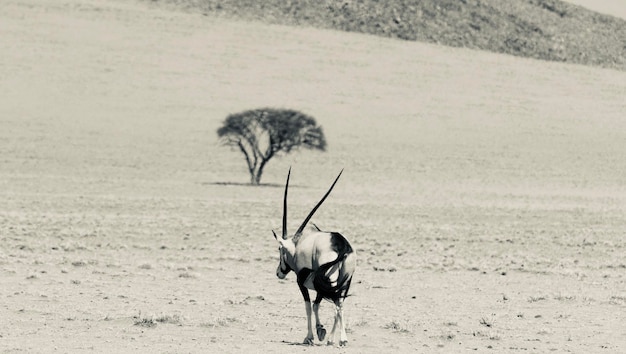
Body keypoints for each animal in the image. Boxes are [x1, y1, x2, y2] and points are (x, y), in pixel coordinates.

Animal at [272, 169, 356, 346]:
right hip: (344, 281)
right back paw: (339, 339)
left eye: (279, 249)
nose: (279, 273)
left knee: (335, 306)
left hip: (329, 280)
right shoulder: (321, 287)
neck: (297, 247)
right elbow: (317, 305)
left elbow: (309, 306)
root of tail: (341, 244)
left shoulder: (303, 282)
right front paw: (321, 331)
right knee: (340, 304)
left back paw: (334, 339)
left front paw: (311, 335)